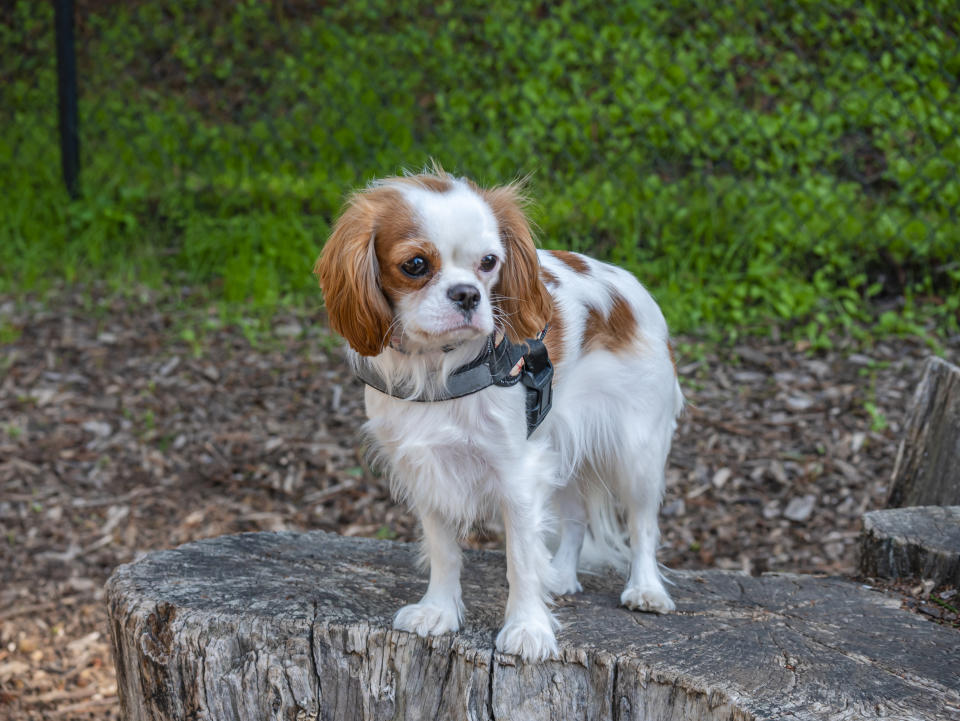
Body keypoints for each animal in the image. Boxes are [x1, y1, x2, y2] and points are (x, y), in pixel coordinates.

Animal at [316, 167, 684, 660]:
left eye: (489, 262)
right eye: (415, 265)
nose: (468, 294)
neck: (438, 367)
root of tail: (629, 284)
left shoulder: (518, 474)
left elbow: (521, 560)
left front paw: (528, 628)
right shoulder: (428, 473)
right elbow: (444, 551)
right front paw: (438, 610)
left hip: (636, 452)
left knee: (643, 524)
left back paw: (646, 590)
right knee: (575, 518)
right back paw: (562, 576)